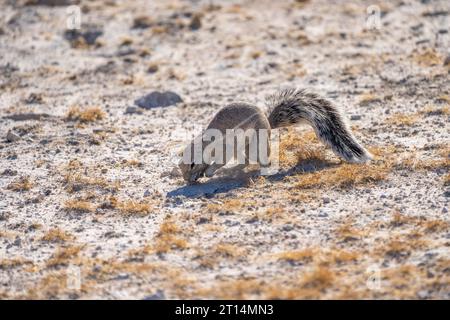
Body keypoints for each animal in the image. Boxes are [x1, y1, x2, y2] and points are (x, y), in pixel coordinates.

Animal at [179, 87, 372, 182]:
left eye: (192, 164)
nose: (188, 181)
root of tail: (268, 122)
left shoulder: (226, 147)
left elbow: (219, 161)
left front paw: (209, 172)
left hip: (257, 144)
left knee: (262, 160)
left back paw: (261, 172)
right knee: (246, 161)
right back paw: (233, 170)